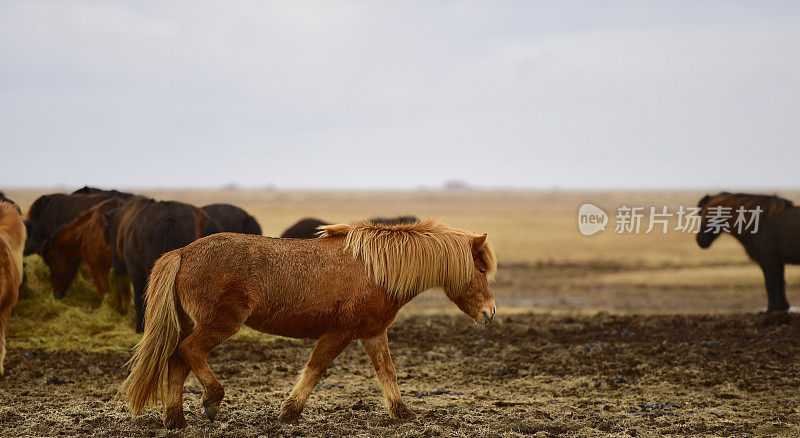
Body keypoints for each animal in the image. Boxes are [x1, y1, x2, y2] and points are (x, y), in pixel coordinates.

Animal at [119, 219, 496, 428]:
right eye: (479, 269)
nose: (490, 312)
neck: (377, 269)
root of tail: (182, 253)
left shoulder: (373, 333)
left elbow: (386, 372)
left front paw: (403, 414)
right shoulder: (340, 333)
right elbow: (316, 369)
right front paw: (289, 412)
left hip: (192, 323)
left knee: (177, 360)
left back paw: (175, 419)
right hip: (219, 324)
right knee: (189, 352)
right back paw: (211, 401)